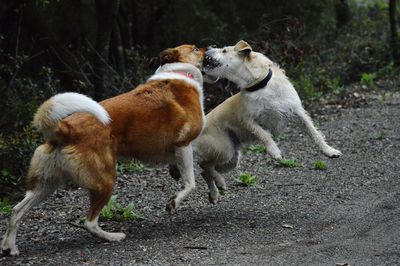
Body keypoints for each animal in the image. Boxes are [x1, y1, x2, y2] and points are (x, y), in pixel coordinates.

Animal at [1, 45, 205, 256]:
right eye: (195, 49)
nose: (208, 48)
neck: (179, 72)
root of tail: (65, 129)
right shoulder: (184, 145)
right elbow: (190, 184)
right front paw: (174, 201)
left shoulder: (176, 150)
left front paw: (174, 173)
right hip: (105, 180)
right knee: (89, 222)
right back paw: (112, 237)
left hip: (45, 184)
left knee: (16, 211)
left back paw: (9, 247)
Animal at [196, 39, 340, 203]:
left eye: (224, 50)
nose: (208, 47)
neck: (260, 85)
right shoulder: (248, 120)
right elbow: (264, 134)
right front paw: (274, 151)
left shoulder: (298, 112)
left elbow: (314, 133)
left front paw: (329, 151)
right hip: (224, 151)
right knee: (204, 165)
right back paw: (218, 184)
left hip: (231, 159)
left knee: (205, 169)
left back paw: (215, 192)